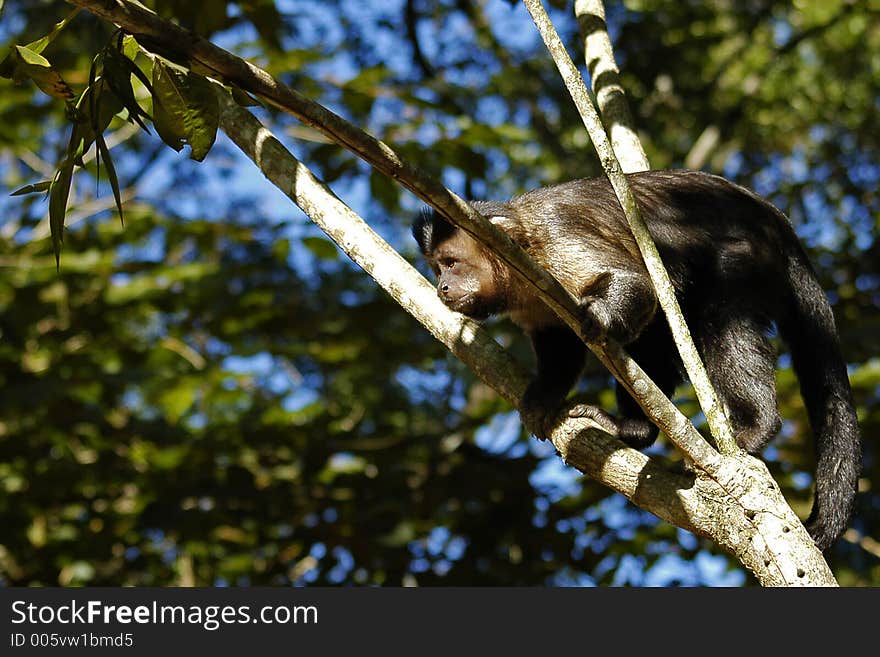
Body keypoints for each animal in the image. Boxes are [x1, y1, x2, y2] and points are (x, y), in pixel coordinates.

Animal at [412, 169, 860, 548]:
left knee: (721, 320)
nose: (442, 288)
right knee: (657, 336)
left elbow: (634, 283)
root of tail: (771, 215)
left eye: (451, 263)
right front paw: (543, 397)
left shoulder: (553, 239)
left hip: (744, 253)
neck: (520, 248)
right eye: (436, 268)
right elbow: (559, 343)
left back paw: (754, 428)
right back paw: (634, 430)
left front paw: (599, 317)